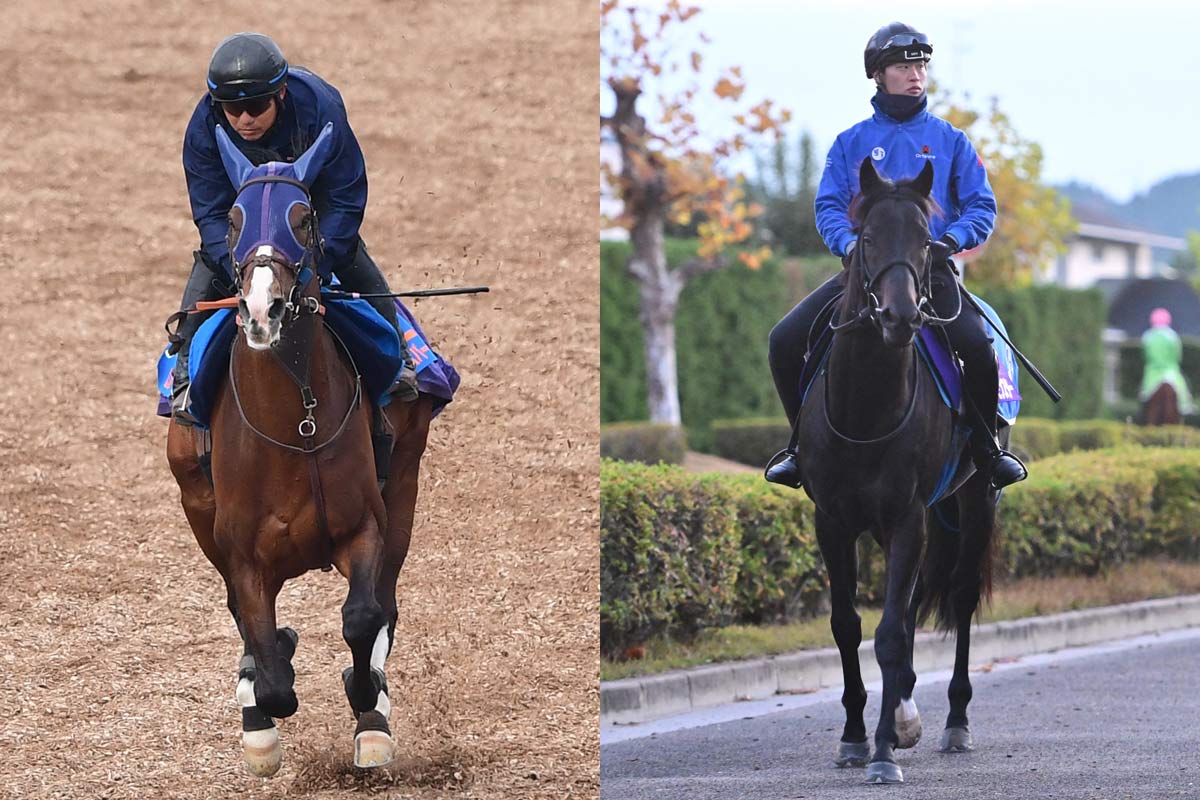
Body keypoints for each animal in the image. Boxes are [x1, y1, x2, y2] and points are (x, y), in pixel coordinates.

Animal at [166, 122, 433, 777]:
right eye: (233, 219)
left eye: (304, 216)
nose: (262, 310)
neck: (297, 425)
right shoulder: (241, 551)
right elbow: (268, 666)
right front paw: (261, 710)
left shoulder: (363, 525)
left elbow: (362, 617)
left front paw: (368, 704)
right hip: (195, 501)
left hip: (405, 483)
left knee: (386, 601)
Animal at [794, 158, 1002, 784]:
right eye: (865, 239)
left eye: (927, 242)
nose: (901, 314)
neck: (867, 406)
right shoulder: (833, 521)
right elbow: (848, 625)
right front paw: (855, 737)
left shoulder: (907, 516)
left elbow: (889, 633)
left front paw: (884, 751)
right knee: (908, 611)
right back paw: (908, 711)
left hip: (974, 500)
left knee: (959, 598)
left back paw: (954, 722)